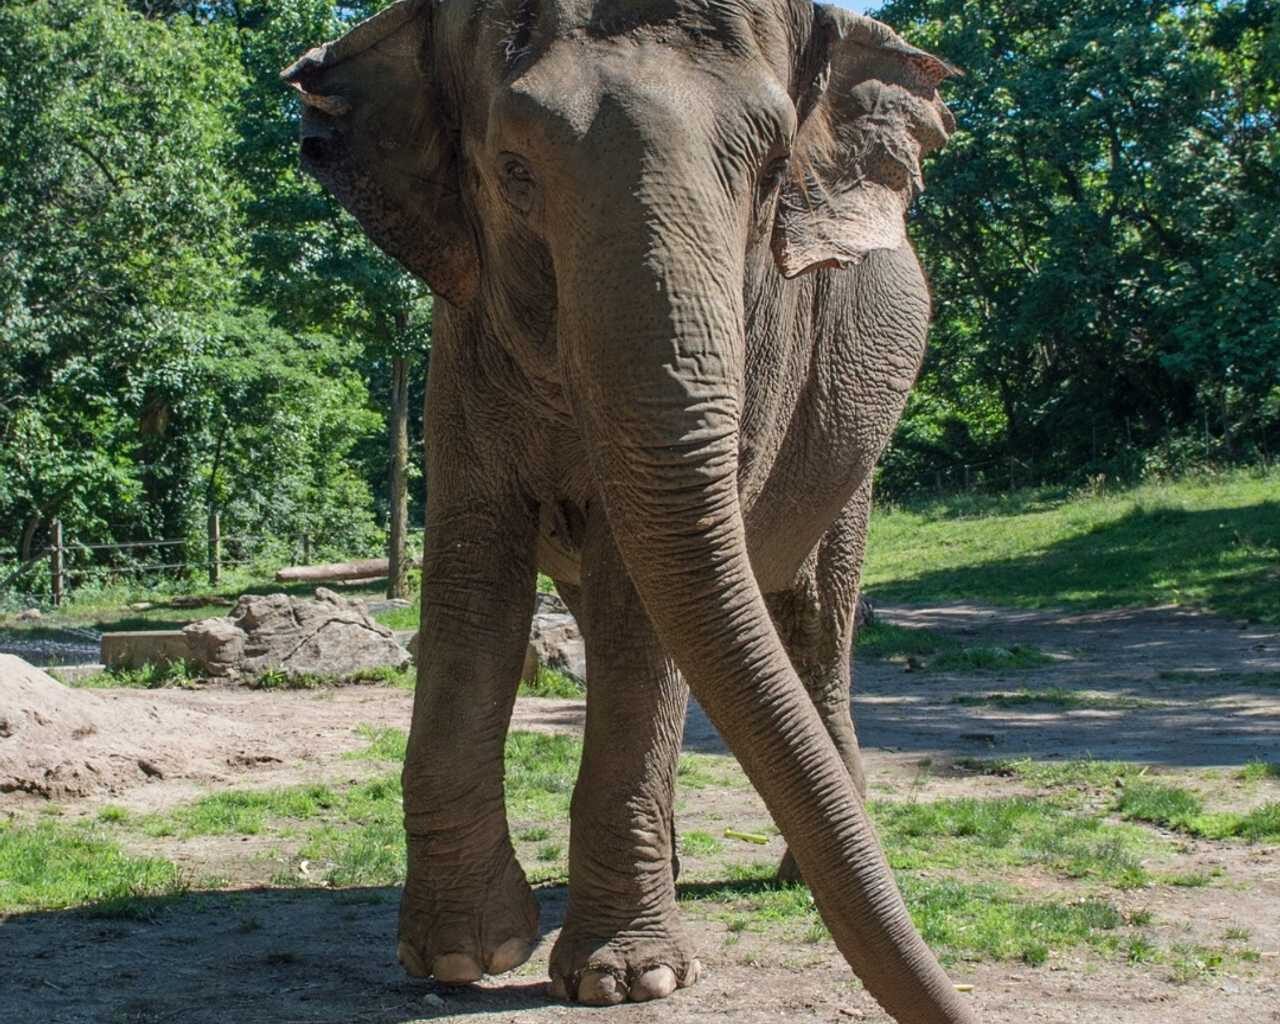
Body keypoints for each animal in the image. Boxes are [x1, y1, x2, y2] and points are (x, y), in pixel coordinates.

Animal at [283, 2, 971, 1023]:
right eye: (512, 170)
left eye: (773, 169)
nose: (958, 1003)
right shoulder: (462, 338)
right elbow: (470, 583)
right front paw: (462, 956)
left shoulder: (766, 339)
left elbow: (640, 605)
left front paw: (626, 981)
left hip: (854, 450)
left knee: (812, 622)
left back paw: (793, 878)